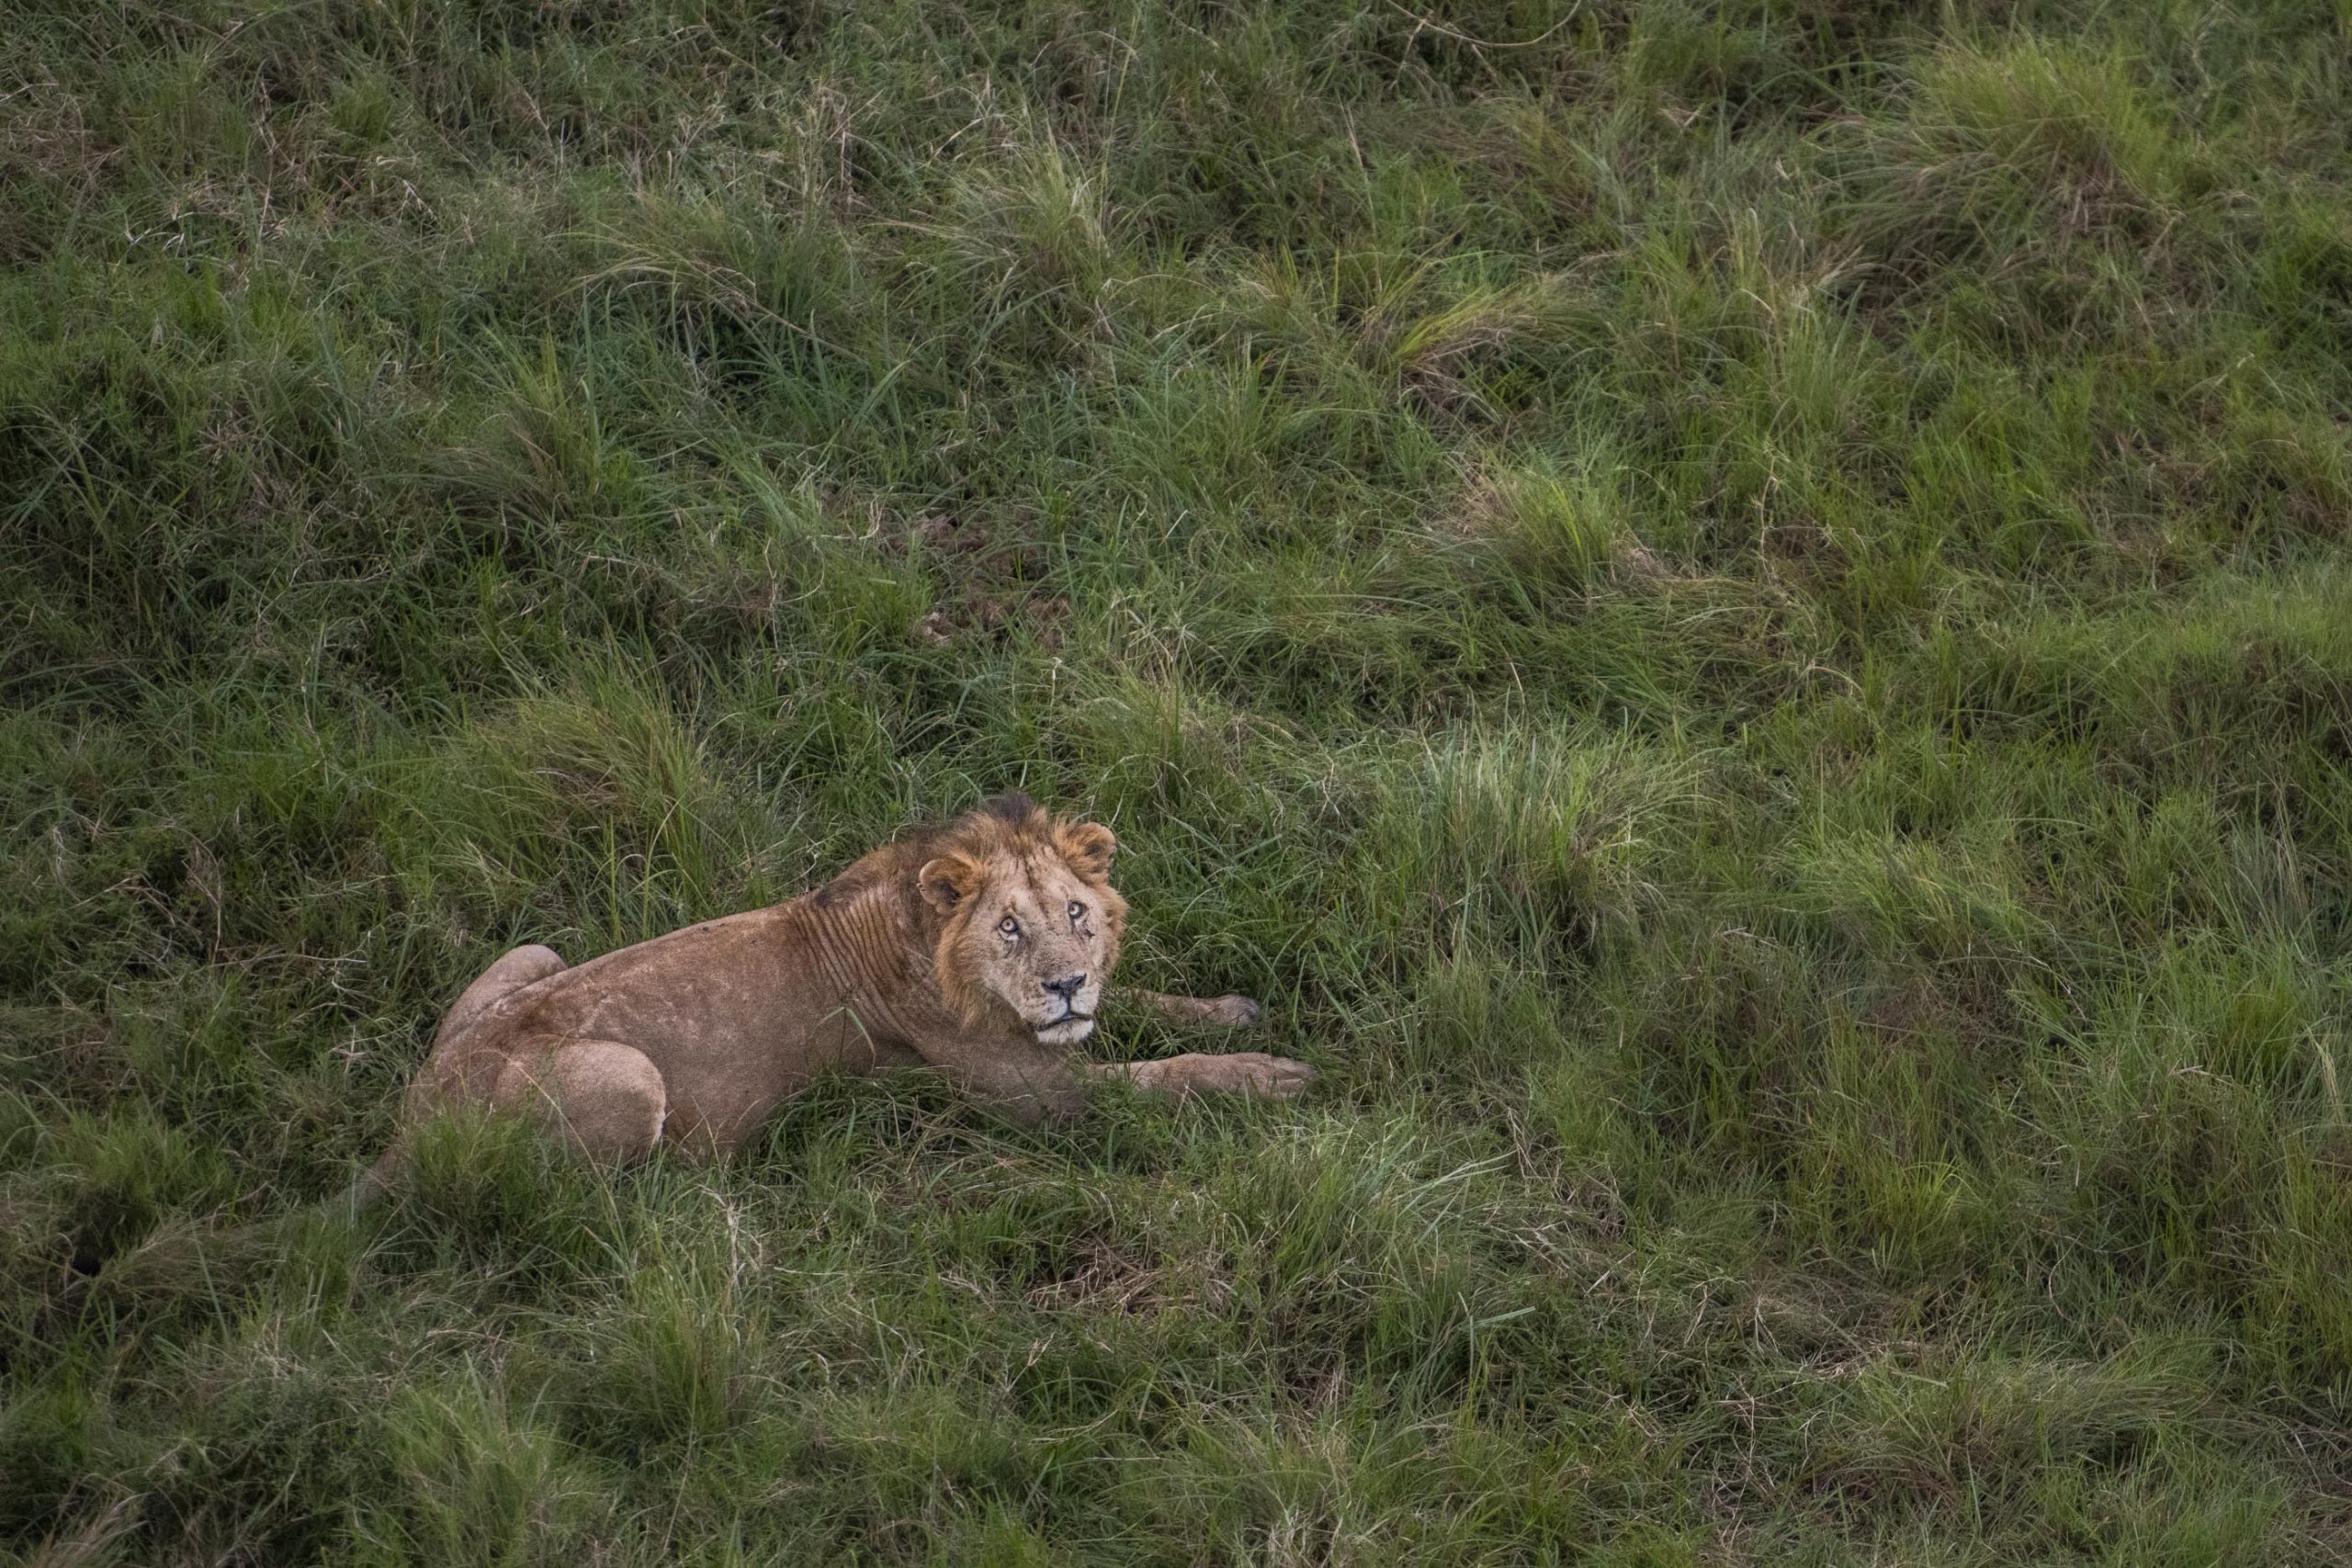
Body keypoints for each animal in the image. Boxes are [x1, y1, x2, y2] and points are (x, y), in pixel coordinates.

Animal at [393, 793, 1314, 1166]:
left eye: (1077, 913)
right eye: (1009, 928)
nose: (1063, 986)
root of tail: (420, 1117)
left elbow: (1141, 1004)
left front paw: (1232, 1009)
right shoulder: (1041, 1101)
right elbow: (1159, 1079)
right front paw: (1266, 1076)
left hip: (534, 954)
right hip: (630, 1075)